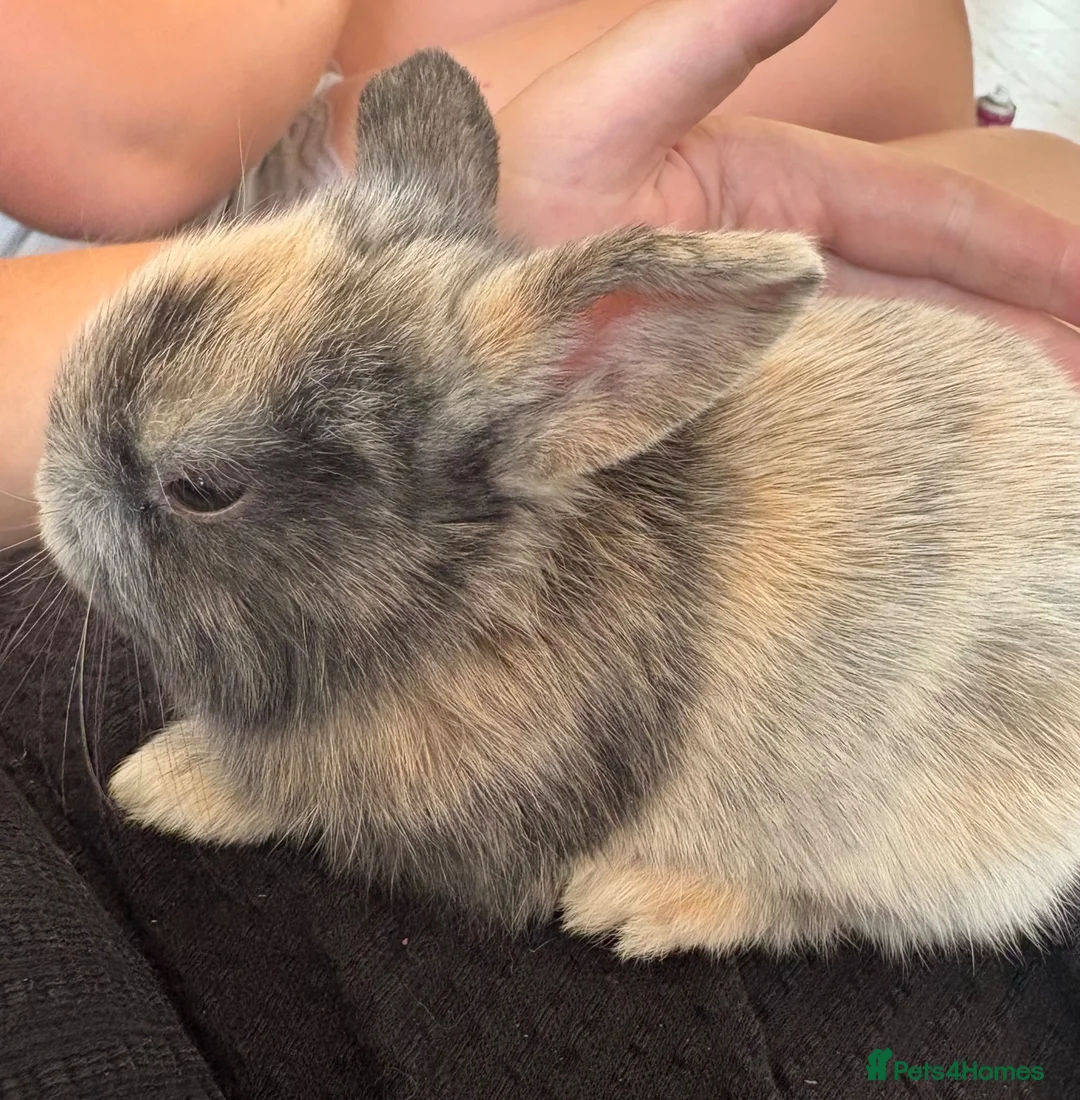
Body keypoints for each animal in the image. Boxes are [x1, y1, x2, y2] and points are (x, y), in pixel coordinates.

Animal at [36, 47, 1080, 961]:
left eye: (203, 491)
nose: (48, 504)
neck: (466, 592)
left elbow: (283, 796)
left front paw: (155, 782)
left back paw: (638, 905)